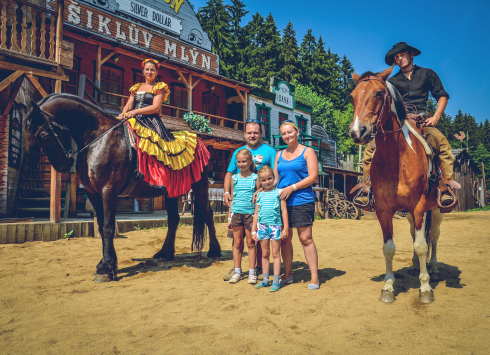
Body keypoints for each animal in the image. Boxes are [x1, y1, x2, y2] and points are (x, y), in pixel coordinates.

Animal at [23, 94, 222, 284]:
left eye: (44, 136)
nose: (63, 166)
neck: (99, 138)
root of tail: (200, 142)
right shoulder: (93, 193)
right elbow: (102, 227)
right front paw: (108, 264)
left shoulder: (108, 190)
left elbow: (108, 227)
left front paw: (105, 269)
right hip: (171, 192)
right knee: (174, 219)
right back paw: (165, 254)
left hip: (199, 186)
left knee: (208, 214)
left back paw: (214, 251)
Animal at [350, 68, 442, 304]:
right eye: (353, 96)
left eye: (378, 93)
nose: (357, 132)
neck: (397, 159)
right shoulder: (384, 209)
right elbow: (389, 248)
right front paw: (388, 287)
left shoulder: (419, 207)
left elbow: (422, 246)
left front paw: (425, 288)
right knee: (415, 234)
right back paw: (415, 265)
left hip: (436, 210)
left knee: (433, 235)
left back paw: (433, 268)